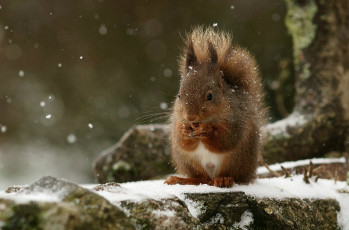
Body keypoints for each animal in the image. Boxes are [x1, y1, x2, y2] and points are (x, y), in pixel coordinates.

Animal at [164, 27, 266, 188]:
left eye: (210, 96)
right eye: (179, 96)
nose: (190, 117)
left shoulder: (237, 120)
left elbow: (226, 139)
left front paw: (207, 130)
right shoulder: (178, 122)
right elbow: (182, 142)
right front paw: (184, 130)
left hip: (237, 160)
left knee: (232, 176)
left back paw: (223, 179)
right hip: (189, 162)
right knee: (201, 178)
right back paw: (181, 179)